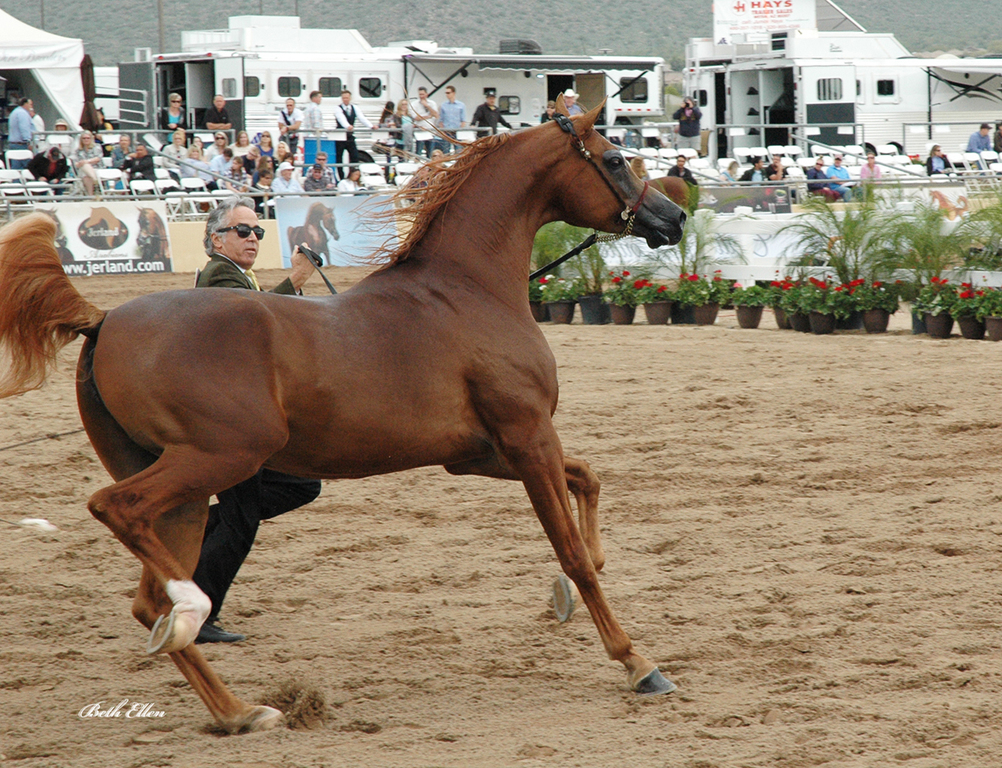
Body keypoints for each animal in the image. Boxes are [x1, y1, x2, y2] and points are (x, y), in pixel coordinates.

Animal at [0, 98, 686, 733]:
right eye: (616, 159)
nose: (674, 216)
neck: (467, 293)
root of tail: (104, 320)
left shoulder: (483, 455)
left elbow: (587, 481)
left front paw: (578, 589)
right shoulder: (527, 439)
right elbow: (572, 552)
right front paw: (637, 663)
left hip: (184, 491)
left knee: (148, 601)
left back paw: (241, 710)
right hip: (219, 458)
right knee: (116, 512)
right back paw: (195, 611)